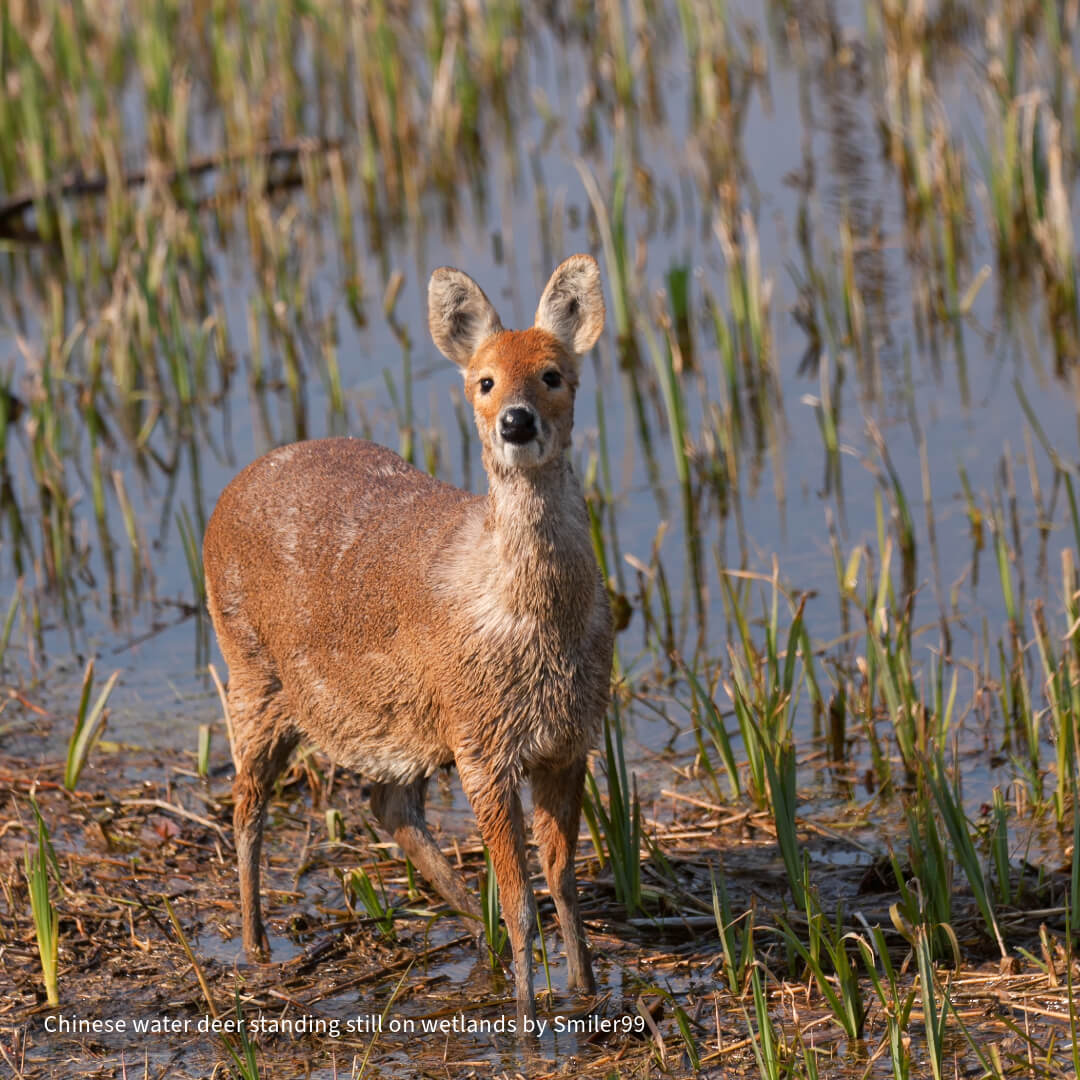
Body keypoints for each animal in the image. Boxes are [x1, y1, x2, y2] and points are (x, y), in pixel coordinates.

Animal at [203, 255, 614, 1028]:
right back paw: (256, 946)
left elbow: (563, 883)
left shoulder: (566, 739)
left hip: (405, 718)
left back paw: (474, 936)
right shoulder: (483, 745)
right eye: (484, 380)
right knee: (244, 803)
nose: (516, 423)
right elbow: (522, 898)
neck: (531, 622)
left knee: (386, 805)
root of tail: (232, 487)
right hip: (252, 670)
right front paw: (528, 1021)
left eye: (553, 374)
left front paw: (587, 992)